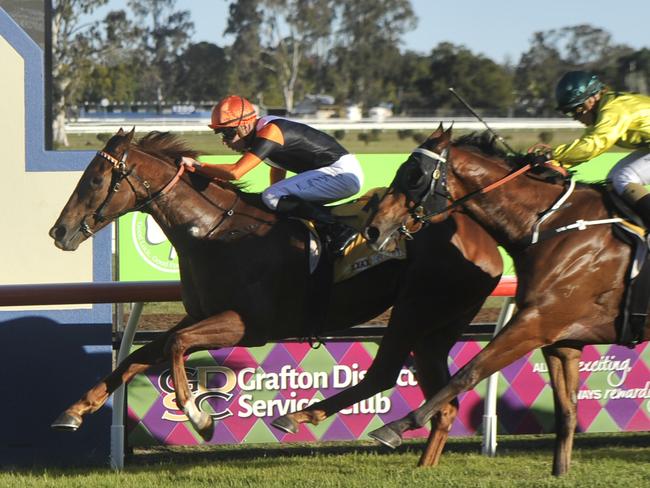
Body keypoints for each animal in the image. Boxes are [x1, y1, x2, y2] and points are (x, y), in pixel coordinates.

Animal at [49, 127, 502, 468]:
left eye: (94, 180)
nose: (59, 232)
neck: (213, 231)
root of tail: (482, 237)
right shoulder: (199, 314)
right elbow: (137, 357)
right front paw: (74, 410)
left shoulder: (249, 325)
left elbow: (176, 345)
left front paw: (200, 417)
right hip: (439, 326)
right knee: (443, 404)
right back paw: (422, 463)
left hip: (415, 308)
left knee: (384, 374)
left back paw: (298, 417)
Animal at [362, 125, 644, 472]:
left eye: (414, 175)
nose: (373, 229)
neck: (547, 224)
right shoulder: (561, 339)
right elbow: (567, 410)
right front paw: (560, 472)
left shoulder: (535, 322)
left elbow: (468, 372)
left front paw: (395, 427)